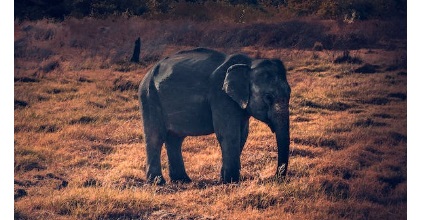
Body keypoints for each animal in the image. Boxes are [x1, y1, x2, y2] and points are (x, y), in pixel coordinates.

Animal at [138, 47, 290, 184]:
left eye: (289, 94)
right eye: (268, 97)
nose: (274, 177)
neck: (249, 63)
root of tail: (148, 74)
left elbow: (242, 134)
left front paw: (224, 179)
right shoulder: (221, 96)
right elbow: (229, 134)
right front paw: (230, 181)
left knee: (175, 139)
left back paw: (182, 180)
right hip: (149, 96)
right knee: (155, 137)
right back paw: (158, 182)